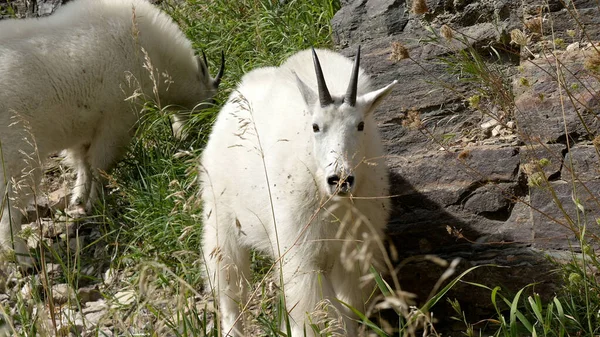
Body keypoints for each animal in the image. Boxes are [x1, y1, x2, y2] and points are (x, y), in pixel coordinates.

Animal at [0, 0, 225, 264]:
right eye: (211, 103)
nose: (186, 137)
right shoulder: (116, 121)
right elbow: (99, 165)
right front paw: (94, 202)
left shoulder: (85, 129)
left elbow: (83, 164)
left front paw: (79, 199)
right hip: (19, 156)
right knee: (10, 209)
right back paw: (21, 257)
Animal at [202, 48, 396, 336]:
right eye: (315, 126)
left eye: (360, 125)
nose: (340, 180)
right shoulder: (301, 253)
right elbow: (314, 310)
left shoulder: (354, 251)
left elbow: (348, 308)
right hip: (221, 218)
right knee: (229, 288)